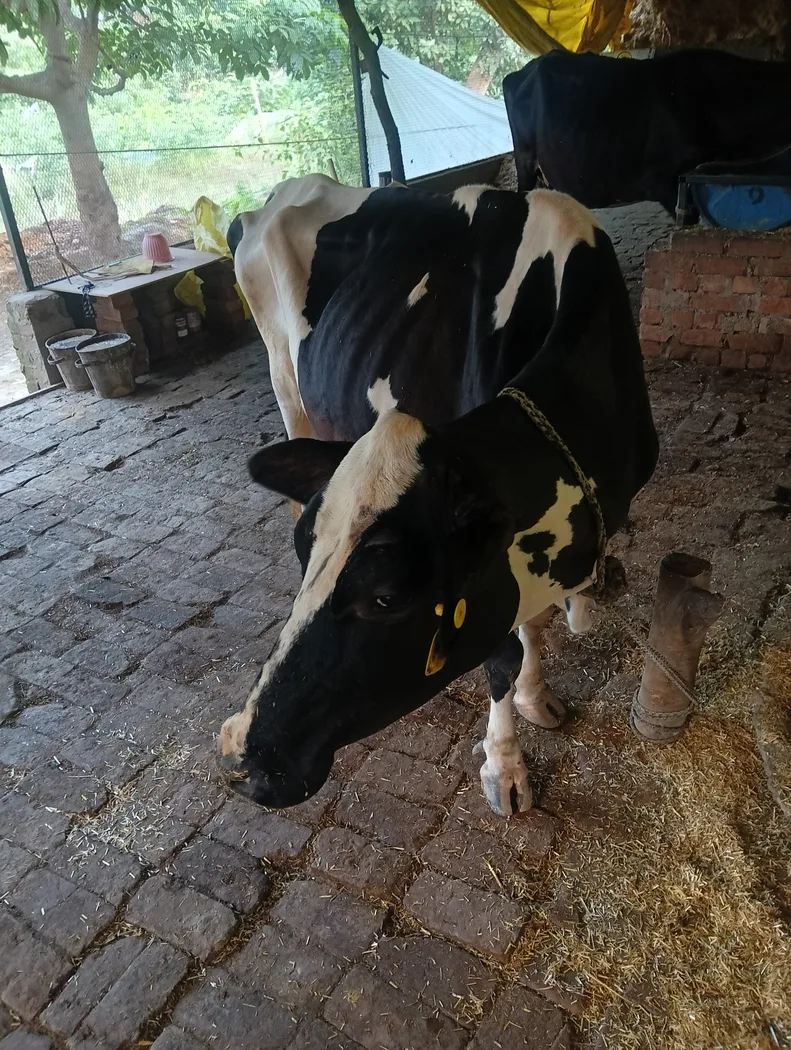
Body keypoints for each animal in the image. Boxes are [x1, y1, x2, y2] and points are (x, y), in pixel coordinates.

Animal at [220, 174, 658, 817]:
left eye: (386, 596)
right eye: (306, 551)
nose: (240, 756)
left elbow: (534, 620)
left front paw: (535, 694)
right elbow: (501, 654)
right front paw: (505, 765)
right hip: (286, 380)